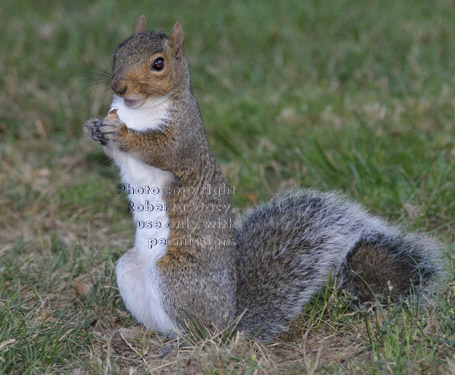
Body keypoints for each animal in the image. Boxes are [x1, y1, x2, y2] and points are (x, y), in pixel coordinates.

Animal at [83, 16, 444, 342]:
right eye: (116, 53)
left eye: (158, 64)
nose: (118, 87)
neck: (137, 109)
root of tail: (231, 320)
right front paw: (93, 127)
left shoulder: (184, 138)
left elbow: (160, 150)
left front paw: (120, 133)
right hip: (128, 270)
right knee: (162, 326)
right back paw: (136, 333)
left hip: (173, 279)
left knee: (199, 335)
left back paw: (180, 344)